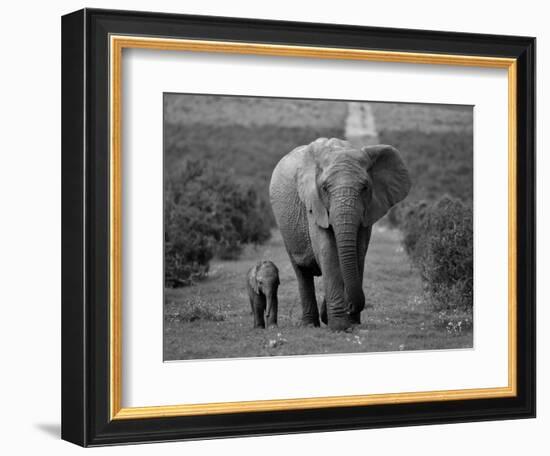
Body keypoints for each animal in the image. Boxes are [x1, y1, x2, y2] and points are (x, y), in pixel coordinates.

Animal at [270, 137, 412, 330]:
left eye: (365, 187)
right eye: (324, 188)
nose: (350, 306)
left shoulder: (368, 211)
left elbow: (358, 252)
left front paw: (351, 323)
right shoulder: (314, 205)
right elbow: (328, 252)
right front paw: (339, 326)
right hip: (286, 228)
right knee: (302, 272)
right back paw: (310, 325)